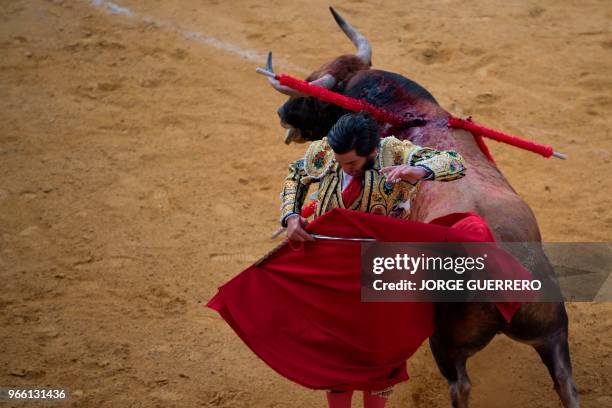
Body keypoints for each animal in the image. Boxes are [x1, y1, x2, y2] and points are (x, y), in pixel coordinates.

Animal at [262, 5, 580, 408]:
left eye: (311, 91)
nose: (280, 111)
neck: (402, 111)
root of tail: (499, 263)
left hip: (446, 342)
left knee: (460, 385)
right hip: (553, 330)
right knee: (564, 381)